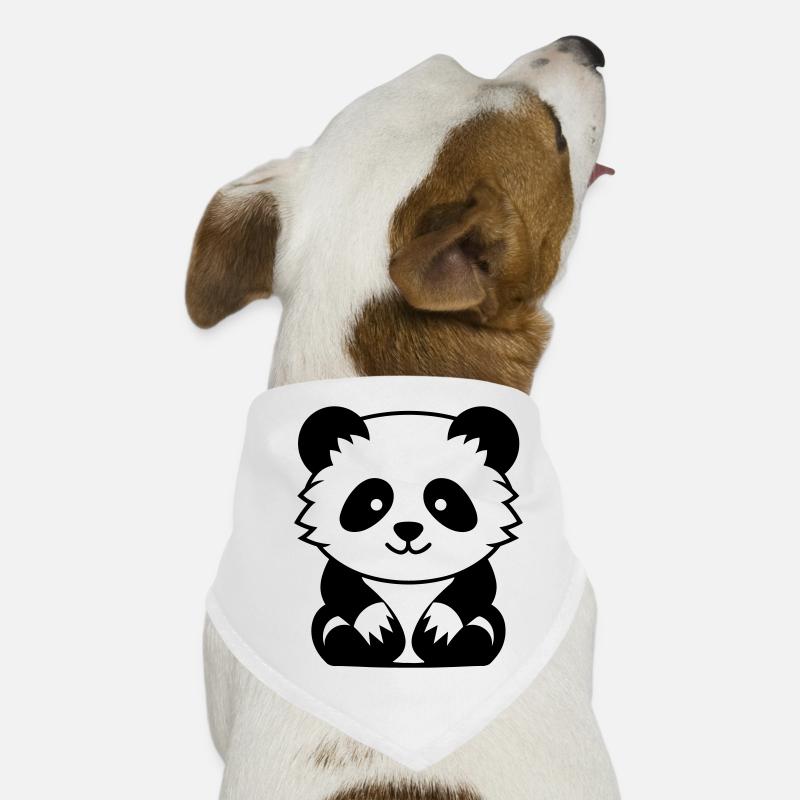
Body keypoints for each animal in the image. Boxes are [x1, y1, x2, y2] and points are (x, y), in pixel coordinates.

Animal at [295, 405, 521, 668]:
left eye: (442, 502)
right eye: (374, 502)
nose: (408, 529)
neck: (408, 578)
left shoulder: (473, 569)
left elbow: (475, 588)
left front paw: (437, 629)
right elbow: (341, 588)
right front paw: (379, 629)